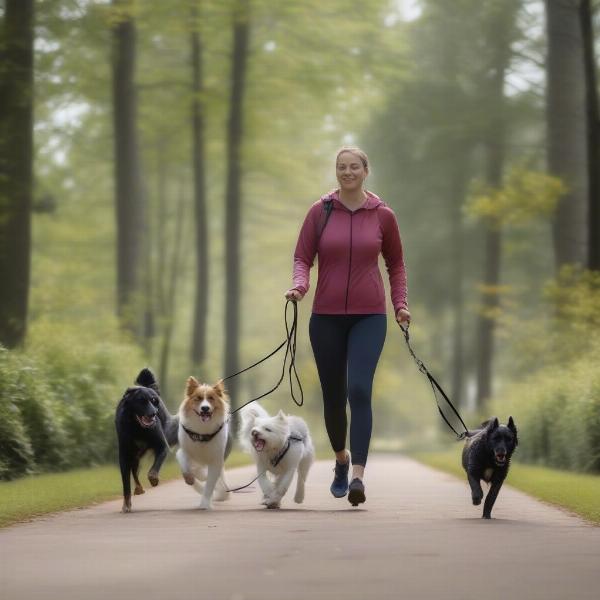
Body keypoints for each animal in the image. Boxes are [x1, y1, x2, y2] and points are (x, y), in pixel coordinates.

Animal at [113, 368, 177, 512]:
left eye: (154, 401)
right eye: (141, 401)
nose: (153, 413)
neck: (138, 428)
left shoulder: (162, 446)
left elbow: (153, 470)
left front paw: (154, 480)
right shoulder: (124, 454)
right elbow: (126, 483)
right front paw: (126, 504)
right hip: (134, 455)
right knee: (134, 471)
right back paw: (138, 488)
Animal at [176, 378, 230, 508]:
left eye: (211, 398)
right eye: (198, 398)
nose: (205, 408)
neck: (202, 433)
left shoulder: (216, 460)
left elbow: (209, 483)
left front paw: (205, 504)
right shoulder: (183, 451)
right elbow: (185, 466)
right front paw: (191, 477)